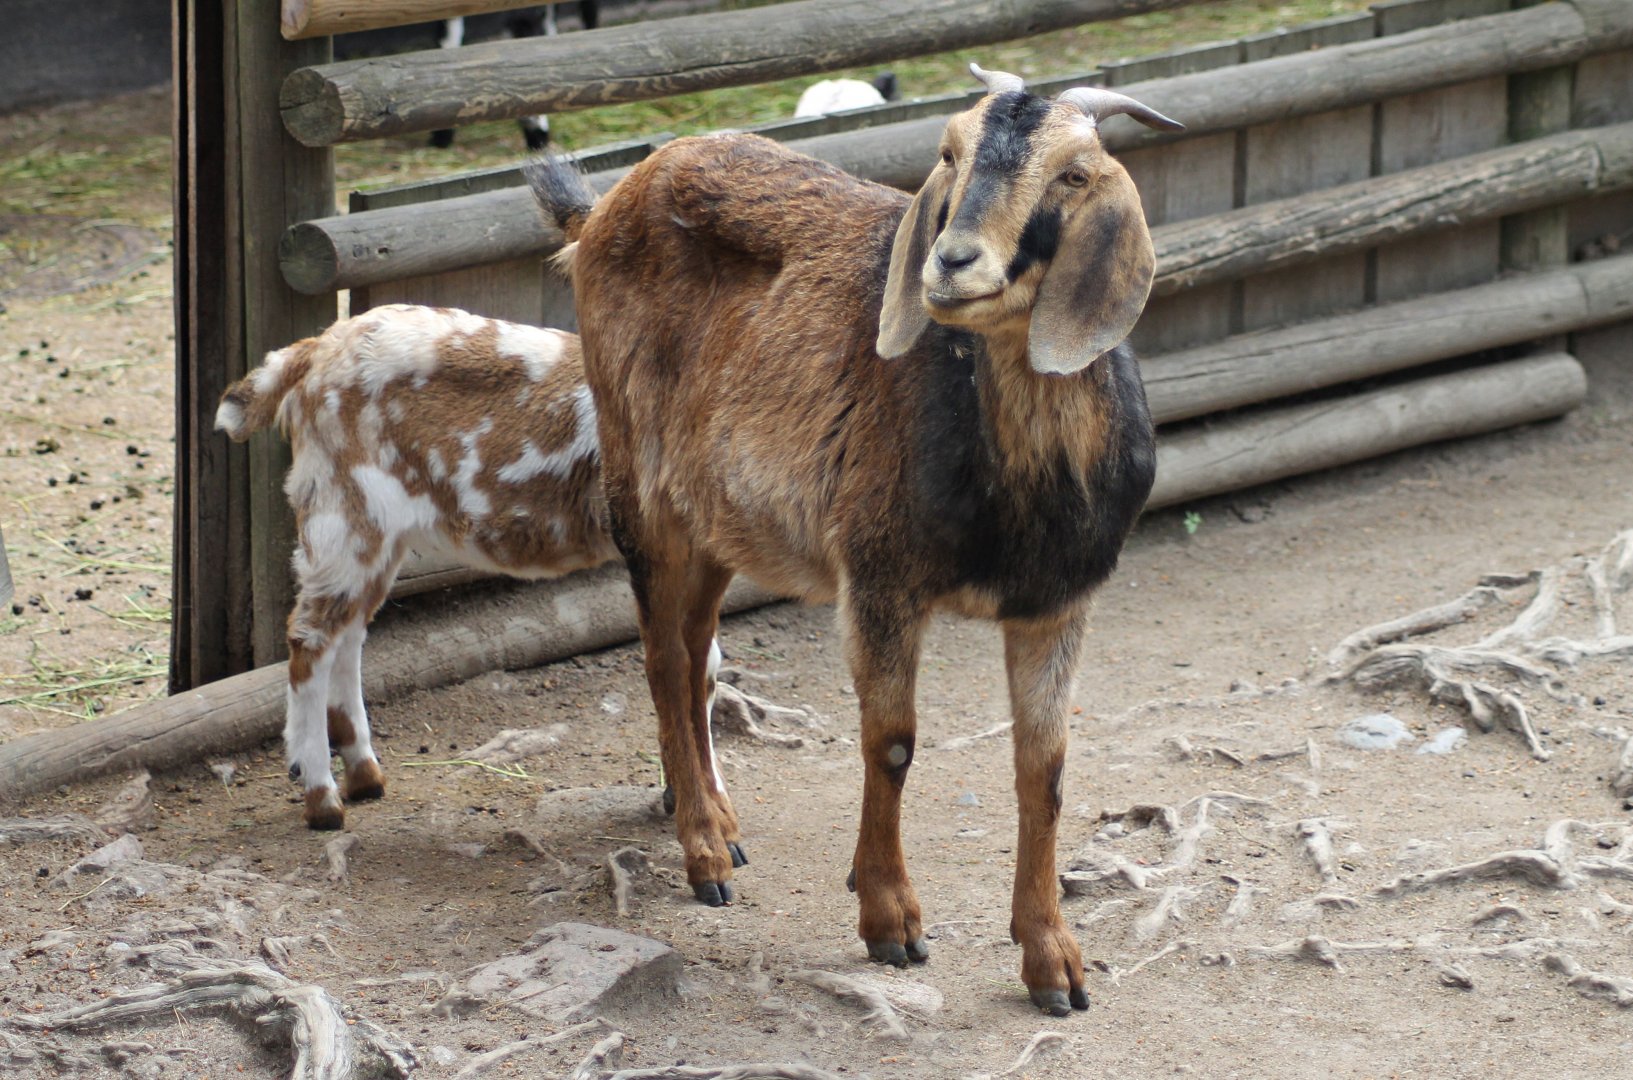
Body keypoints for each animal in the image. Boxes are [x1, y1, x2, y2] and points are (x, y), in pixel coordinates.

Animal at [528, 63, 1179, 1015]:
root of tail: (609, 203)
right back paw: (703, 853)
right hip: (637, 483)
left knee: (693, 651)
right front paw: (890, 919)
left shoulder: (1059, 601)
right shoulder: (880, 576)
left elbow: (1045, 768)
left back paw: (712, 814)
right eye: (947, 152)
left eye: (1072, 173)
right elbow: (893, 743)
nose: (951, 262)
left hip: (720, 516)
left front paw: (1053, 960)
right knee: (660, 657)